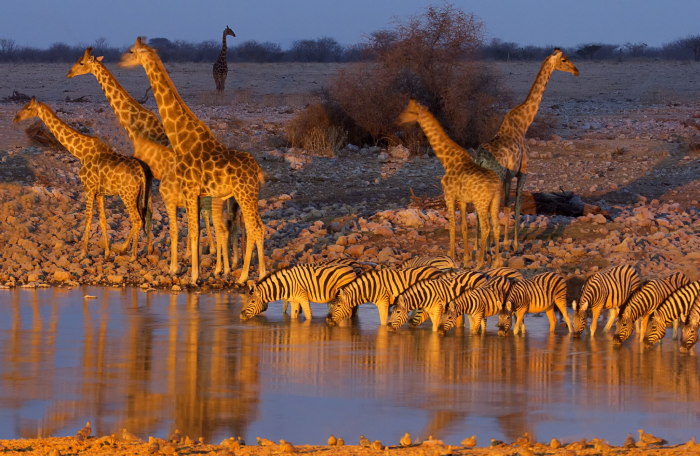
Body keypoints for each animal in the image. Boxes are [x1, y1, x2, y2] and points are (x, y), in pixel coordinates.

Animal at [13, 97, 152, 260]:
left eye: (28, 108)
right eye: (24, 106)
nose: (16, 118)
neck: (81, 152)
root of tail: (141, 174)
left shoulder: (88, 188)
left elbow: (88, 219)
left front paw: (83, 253)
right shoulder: (99, 193)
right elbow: (103, 220)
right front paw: (106, 254)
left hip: (127, 195)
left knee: (137, 219)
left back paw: (133, 255)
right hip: (137, 195)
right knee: (142, 217)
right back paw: (125, 249)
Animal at [67, 46, 243, 274]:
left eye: (81, 62)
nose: (69, 73)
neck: (135, 125)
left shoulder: (148, 173)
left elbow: (147, 211)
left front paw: (133, 249)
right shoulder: (151, 175)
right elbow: (149, 211)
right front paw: (143, 248)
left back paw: (205, 255)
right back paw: (226, 258)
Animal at [119, 37, 264, 284]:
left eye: (130, 51)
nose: (119, 62)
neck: (182, 140)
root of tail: (258, 172)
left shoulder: (190, 189)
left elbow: (194, 230)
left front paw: (193, 276)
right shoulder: (195, 193)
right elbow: (195, 229)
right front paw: (194, 271)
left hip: (244, 194)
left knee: (254, 228)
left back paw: (244, 276)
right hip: (249, 195)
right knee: (260, 227)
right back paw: (261, 273)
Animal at [396, 99, 500, 268]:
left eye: (409, 111)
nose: (398, 120)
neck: (447, 160)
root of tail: (496, 184)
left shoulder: (448, 196)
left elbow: (452, 226)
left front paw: (451, 257)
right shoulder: (462, 200)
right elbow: (463, 227)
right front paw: (465, 261)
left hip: (481, 202)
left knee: (486, 227)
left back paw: (480, 264)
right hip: (495, 201)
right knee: (496, 226)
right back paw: (497, 262)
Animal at [476, 47, 580, 251]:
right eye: (564, 60)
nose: (576, 71)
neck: (523, 124)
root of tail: (481, 159)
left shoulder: (510, 176)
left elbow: (508, 205)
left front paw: (505, 243)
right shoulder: (522, 171)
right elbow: (514, 205)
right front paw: (513, 245)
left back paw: (477, 246)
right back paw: (486, 247)